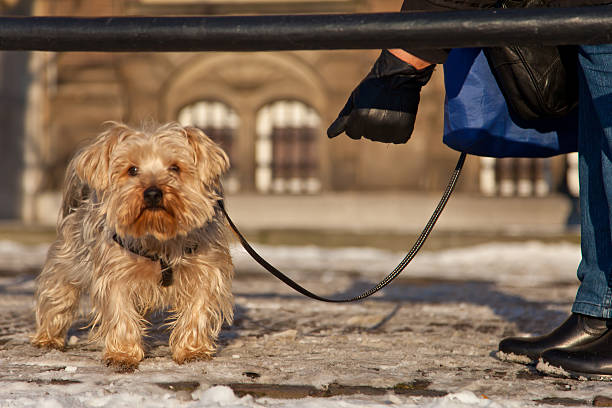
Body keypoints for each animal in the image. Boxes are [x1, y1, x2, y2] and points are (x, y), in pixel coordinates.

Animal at [32, 122, 235, 372]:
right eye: (132, 170)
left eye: (175, 168)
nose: (153, 192)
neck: (159, 239)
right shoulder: (116, 273)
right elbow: (121, 313)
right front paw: (123, 354)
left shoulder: (206, 270)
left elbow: (198, 309)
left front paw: (192, 351)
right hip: (68, 260)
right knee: (57, 294)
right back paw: (48, 338)